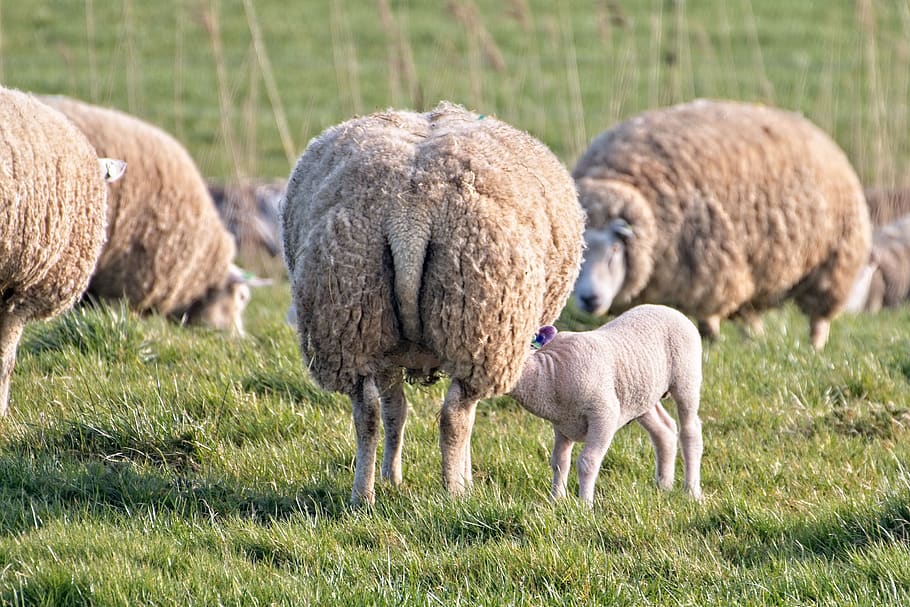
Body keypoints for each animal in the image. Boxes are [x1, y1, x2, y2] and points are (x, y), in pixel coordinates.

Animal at [281, 101, 585, 504]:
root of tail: (410, 211)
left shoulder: (388, 352)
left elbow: (395, 411)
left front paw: (392, 476)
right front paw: (463, 478)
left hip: (353, 317)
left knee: (367, 414)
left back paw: (364, 494)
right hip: (478, 326)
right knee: (455, 416)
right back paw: (455, 493)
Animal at [509, 305, 703, 506]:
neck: (549, 371)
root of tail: (668, 309)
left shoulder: (603, 414)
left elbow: (587, 462)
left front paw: (584, 505)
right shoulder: (562, 425)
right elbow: (559, 462)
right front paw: (556, 501)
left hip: (686, 379)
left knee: (690, 432)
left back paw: (692, 492)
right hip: (642, 393)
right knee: (664, 430)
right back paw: (664, 486)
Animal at [572, 99, 872, 349]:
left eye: (614, 251)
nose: (590, 299)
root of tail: (808, 126)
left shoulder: (713, 267)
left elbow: (709, 317)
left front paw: (711, 341)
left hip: (833, 262)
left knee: (819, 317)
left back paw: (814, 347)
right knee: (751, 313)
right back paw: (752, 341)